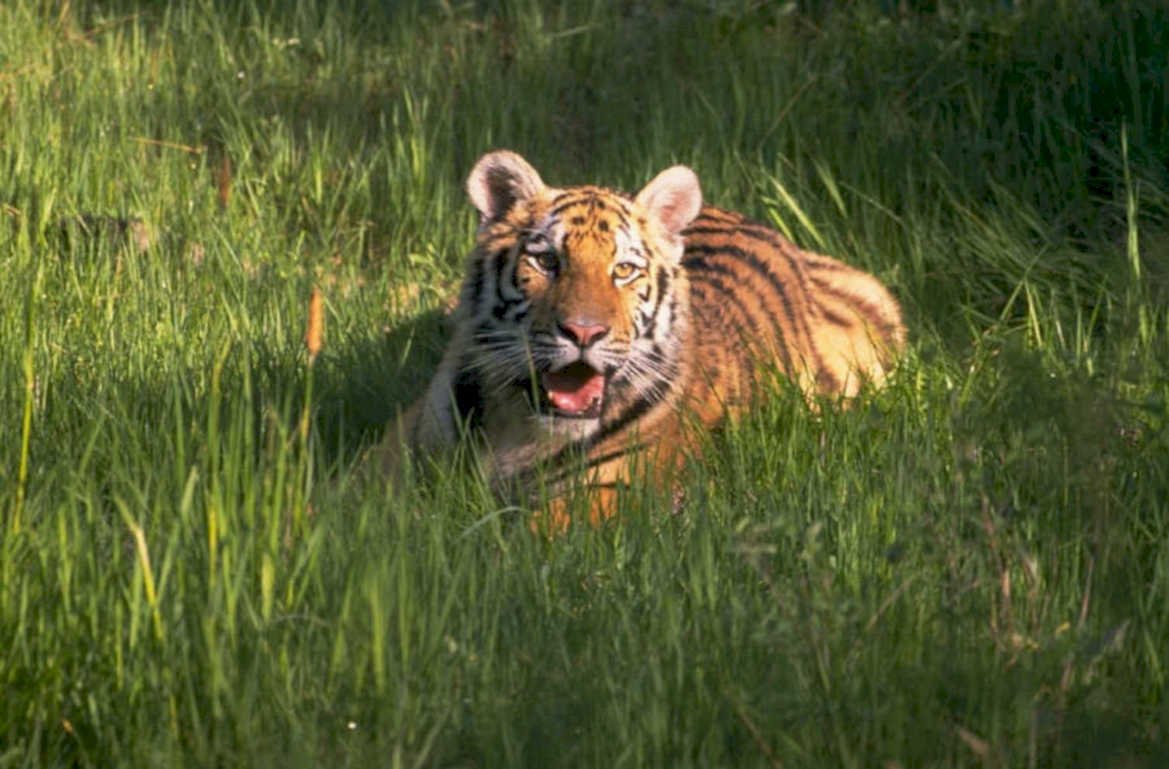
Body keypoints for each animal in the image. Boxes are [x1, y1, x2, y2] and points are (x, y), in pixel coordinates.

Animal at [379, 150, 905, 532]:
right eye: (547, 261)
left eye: (624, 270)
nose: (583, 332)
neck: (519, 424)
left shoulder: (613, 493)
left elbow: (523, 533)